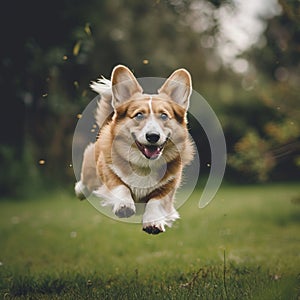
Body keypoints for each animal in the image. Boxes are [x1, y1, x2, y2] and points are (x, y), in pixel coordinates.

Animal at [75, 65, 195, 234]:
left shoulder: (169, 185)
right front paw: (124, 205)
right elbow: (120, 186)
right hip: (92, 170)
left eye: (164, 116)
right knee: (86, 181)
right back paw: (80, 190)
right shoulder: (108, 170)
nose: (153, 136)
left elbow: (156, 201)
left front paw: (153, 222)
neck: (144, 165)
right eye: (139, 115)